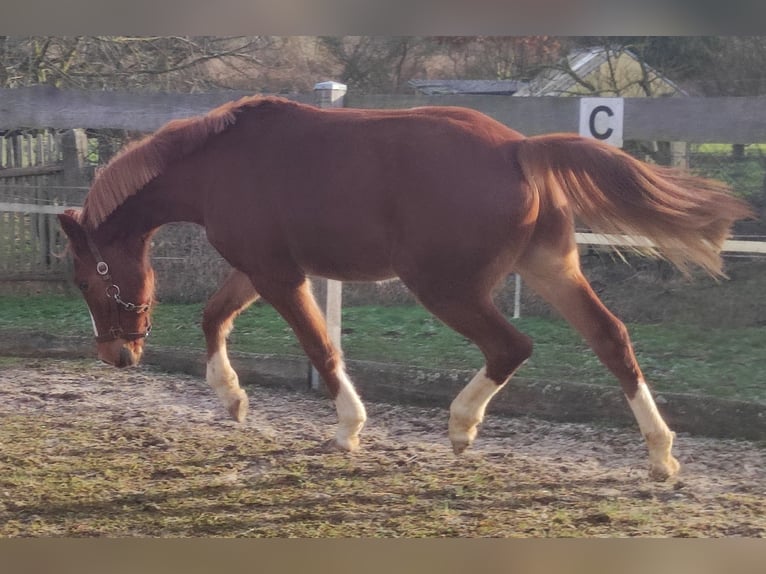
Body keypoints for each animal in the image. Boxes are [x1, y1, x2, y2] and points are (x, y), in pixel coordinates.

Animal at [57, 94, 752, 482]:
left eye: (87, 280)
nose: (118, 356)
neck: (218, 164)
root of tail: (519, 149)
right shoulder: (259, 268)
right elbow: (212, 316)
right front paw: (233, 400)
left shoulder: (281, 275)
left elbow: (320, 347)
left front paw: (348, 429)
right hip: (551, 268)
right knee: (612, 339)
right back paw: (661, 457)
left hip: (445, 288)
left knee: (512, 347)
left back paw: (462, 427)